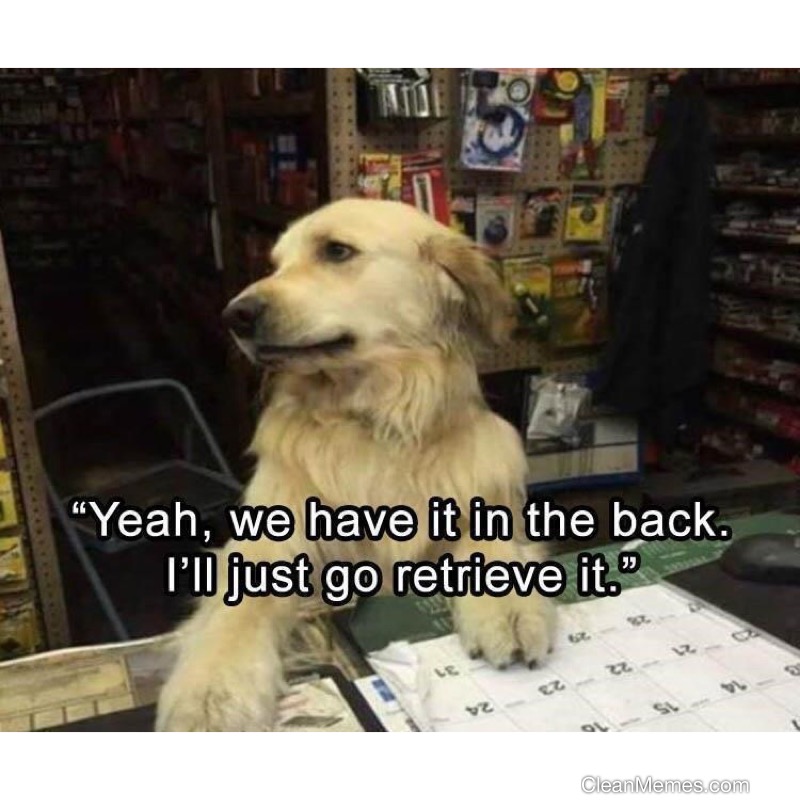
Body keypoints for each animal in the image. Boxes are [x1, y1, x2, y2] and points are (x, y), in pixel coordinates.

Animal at [156, 198, 555, 731]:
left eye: (336, 250)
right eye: (274, 264)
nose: (234, 315)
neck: (373, 421)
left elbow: (492, 548)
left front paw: (508, 609)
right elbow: (238, 610)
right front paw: (211, 693)